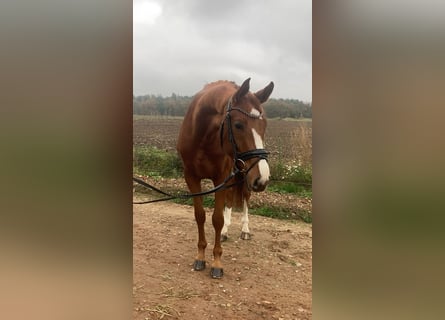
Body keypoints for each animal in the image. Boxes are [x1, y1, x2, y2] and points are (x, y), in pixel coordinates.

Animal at [175, 77, 272, 278]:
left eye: (264, 125)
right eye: (238, 125)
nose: (263, 177)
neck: (203, 136)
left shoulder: (221, 179)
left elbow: (217, 219)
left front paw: (217, 263)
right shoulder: (191, 178)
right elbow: (200, 216)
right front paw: (200, 256)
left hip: (244, 177)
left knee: (245, 200)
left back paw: (245, 230)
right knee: (229, 201)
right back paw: (226, 231)